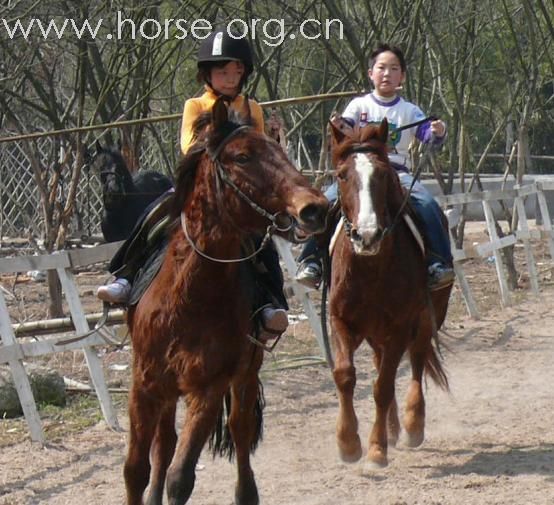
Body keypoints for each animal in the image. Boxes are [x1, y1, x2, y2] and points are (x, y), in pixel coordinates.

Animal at [123, 98, 328, 504]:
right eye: (243, 156)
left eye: (281, 151)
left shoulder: (209, 387)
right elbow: (136, 470)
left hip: (245, 374)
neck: (189, 299)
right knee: (164, 443)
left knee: (239, 430)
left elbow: (180, 477)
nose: (314, 208)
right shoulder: (145, 382)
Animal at [328, 116, 448, 470]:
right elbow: (345, 375)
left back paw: (411, 425)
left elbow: (382, 386)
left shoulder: (399, 325)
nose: (367, 235)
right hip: (375, 331)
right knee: (383, 363)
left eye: (382, 175)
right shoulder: (339, 320)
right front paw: (348, 443)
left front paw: (376, 449)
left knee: (417, 360)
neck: (370, 267)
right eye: (342, 175)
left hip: (426, 319)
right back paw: (394, 429)